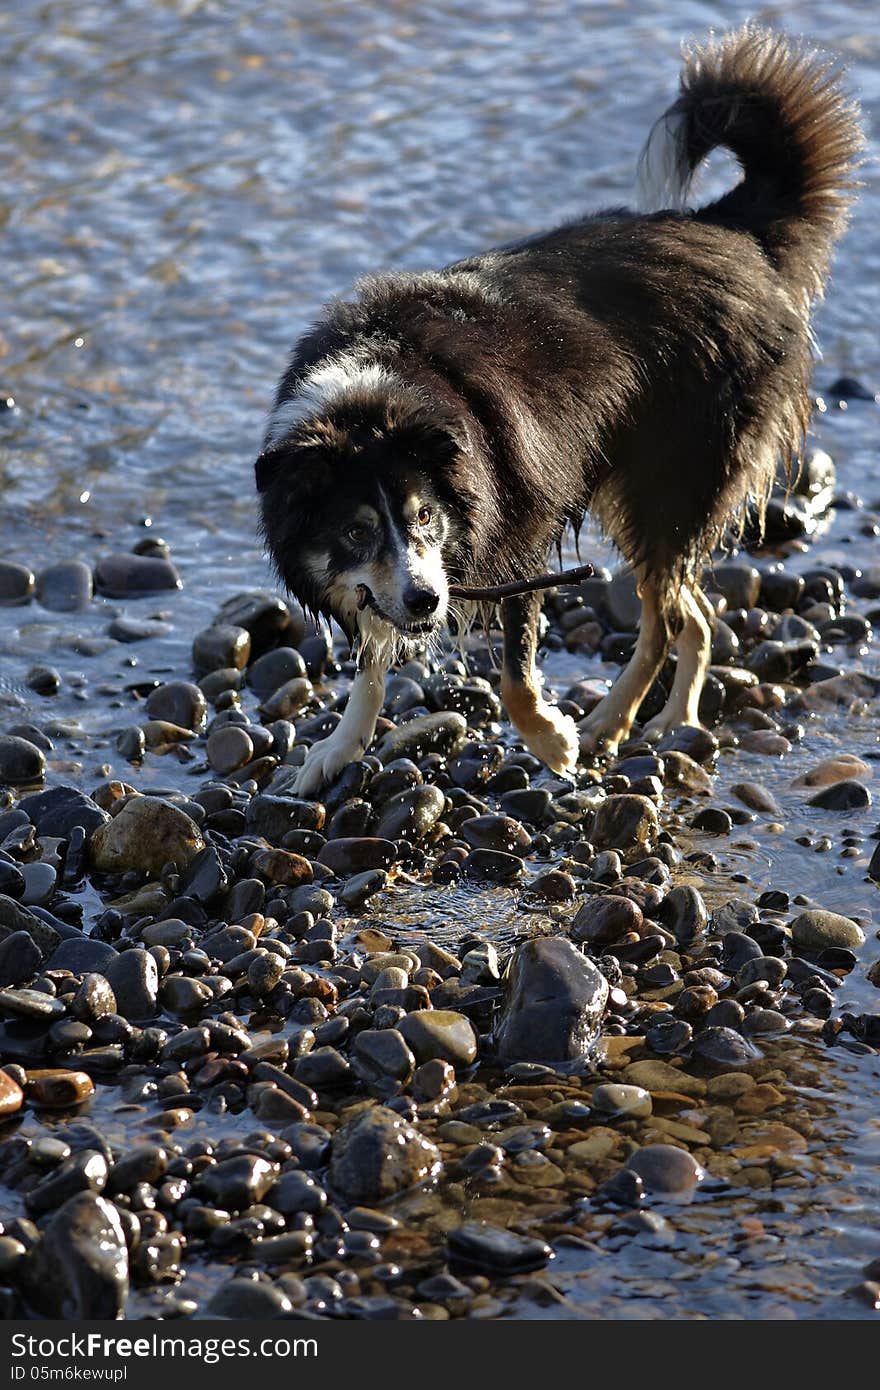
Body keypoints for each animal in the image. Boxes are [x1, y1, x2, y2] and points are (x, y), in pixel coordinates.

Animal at [254, 24, 856, 795]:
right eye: (356, 532)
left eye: (425, 516)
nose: (426, 602)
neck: (375, 397)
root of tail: (732, 233)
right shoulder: (388, 583)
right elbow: (372, 656)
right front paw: (338, 747)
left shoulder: (520, 529)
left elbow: (514, 674)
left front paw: (554, 742)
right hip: (635, 492)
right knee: (695, 613)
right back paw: (665, 720)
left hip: (668, 483)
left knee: (670, 617)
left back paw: (618, 724)